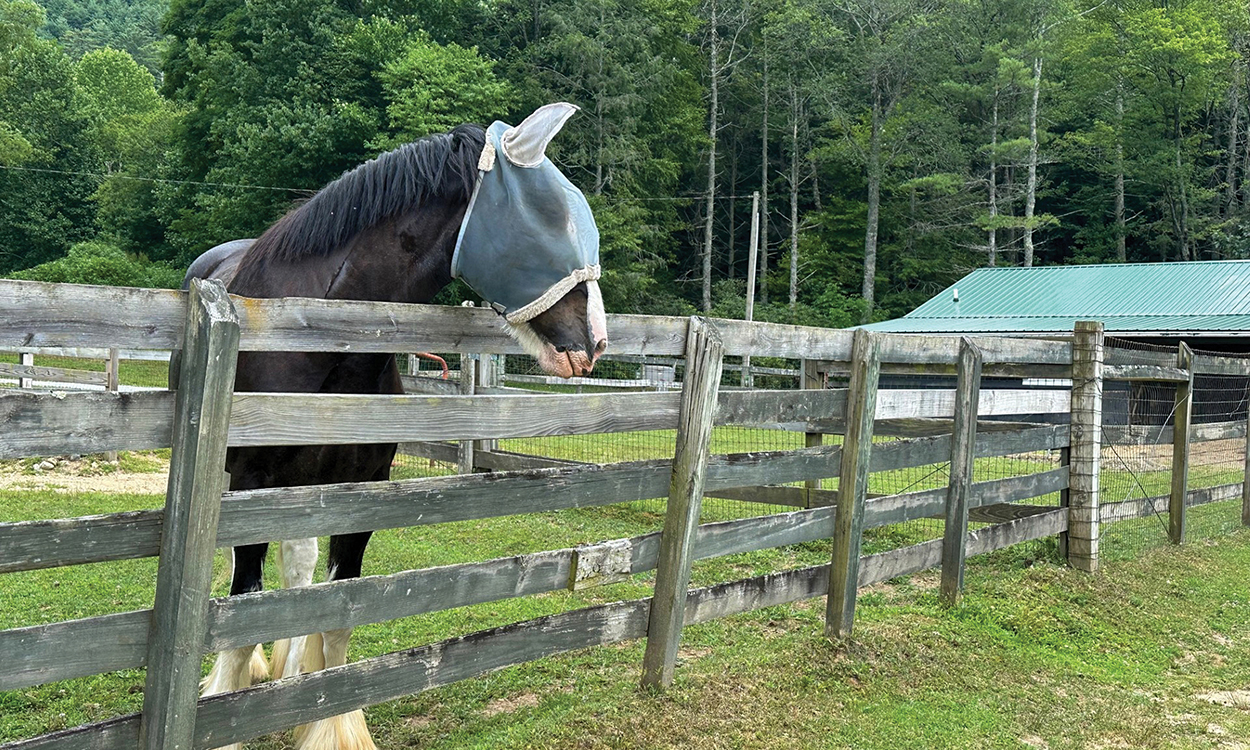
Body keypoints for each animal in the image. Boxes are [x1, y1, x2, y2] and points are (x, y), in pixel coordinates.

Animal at [180, 103, 610, 750]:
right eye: (552, 218)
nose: (594, 342)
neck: (323, 336)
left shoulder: (362, 493)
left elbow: (336, 613)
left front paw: (327, 722)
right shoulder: (250, 481)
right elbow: (242, 601)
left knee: (298, 565)